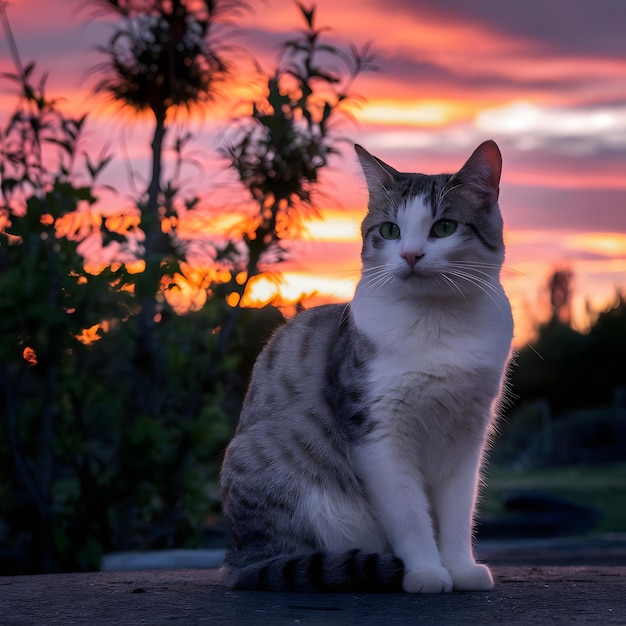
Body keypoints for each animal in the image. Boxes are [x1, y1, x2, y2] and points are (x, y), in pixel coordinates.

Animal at [219, 139, 512, 592]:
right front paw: (426, 572)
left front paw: (461, 568)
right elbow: (409, 515)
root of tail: (236, 558)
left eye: (444, 227)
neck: (437, 322)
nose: (410, 255)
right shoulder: (378, 432)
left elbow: (457, 513)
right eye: (389, 231)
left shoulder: (466, 436)